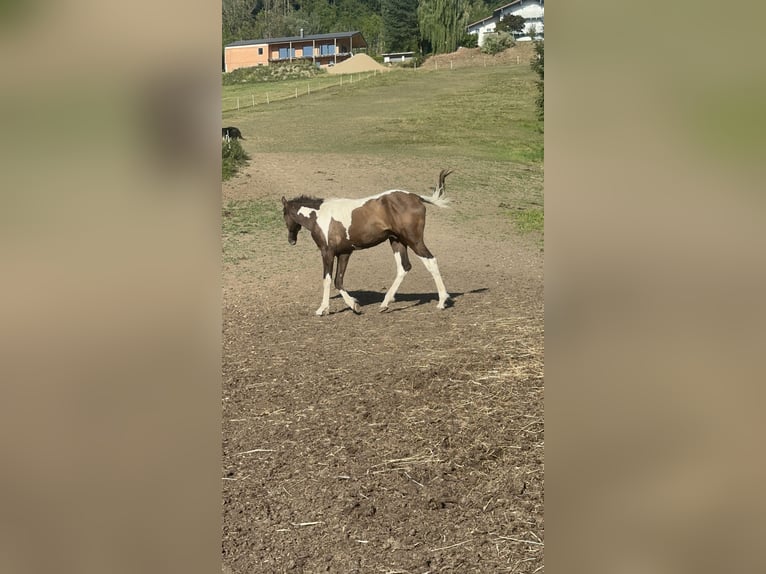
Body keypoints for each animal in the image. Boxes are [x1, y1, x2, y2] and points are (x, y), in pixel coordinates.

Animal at [281, 169, 452, 316]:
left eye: (284, 214)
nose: (291, 240)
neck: (320, 216)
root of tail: (416, 197)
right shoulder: (344, 253)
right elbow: (338, 281)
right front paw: (353, 305)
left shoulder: (327, 252)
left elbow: (328, 279)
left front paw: (322, 309)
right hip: (397, 241)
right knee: (404, 267)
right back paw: (385, 304)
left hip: (414, 240)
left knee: (430, 261)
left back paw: (442, 301)